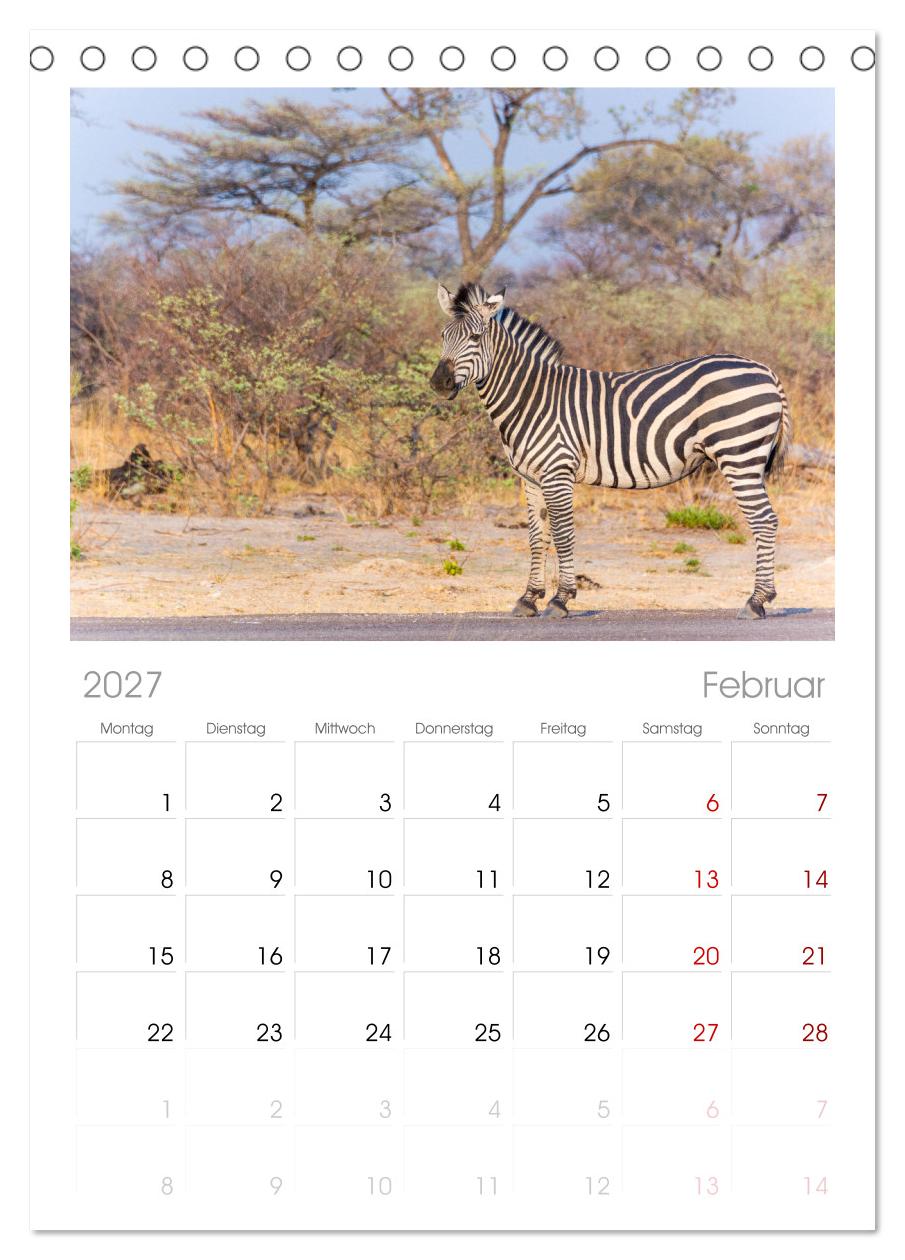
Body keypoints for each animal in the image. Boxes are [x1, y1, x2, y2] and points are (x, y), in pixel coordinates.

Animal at [430, 282, 792, 620]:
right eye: (444, 336)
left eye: (475, 337)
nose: (439, 383)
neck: (531, 397)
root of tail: (766, 371)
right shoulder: (530, 478)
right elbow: (537, 536)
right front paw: (529, 598)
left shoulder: (557, 471)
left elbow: (562, 533)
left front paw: (560, 599)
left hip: (739, 457)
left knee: (764, 520)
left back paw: (756, 601)